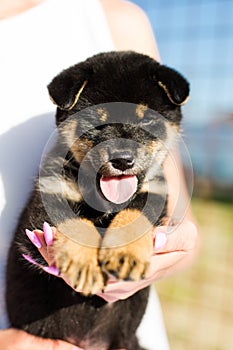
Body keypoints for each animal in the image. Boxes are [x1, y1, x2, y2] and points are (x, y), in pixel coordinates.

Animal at [5, 52, 189, 350]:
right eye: (96, 121)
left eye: (147, 121)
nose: (123, 160)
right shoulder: (42, 208)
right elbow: (76, 223)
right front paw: (84, 265)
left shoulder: (157, 197)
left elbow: (132, 216)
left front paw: (124, 255)